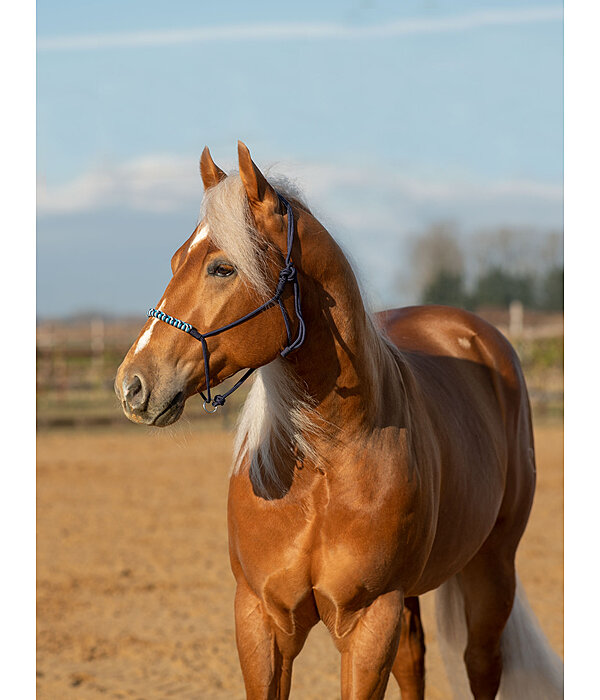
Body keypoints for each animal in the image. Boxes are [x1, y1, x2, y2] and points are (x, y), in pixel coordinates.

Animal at [116, 142, 564, 700]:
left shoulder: (370, 619)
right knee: (414, 659)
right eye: (176, 260)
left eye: (222, 268)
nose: (133, 383)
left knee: (482, 663)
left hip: (491, 569)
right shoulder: (261, 620)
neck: (322, 466)